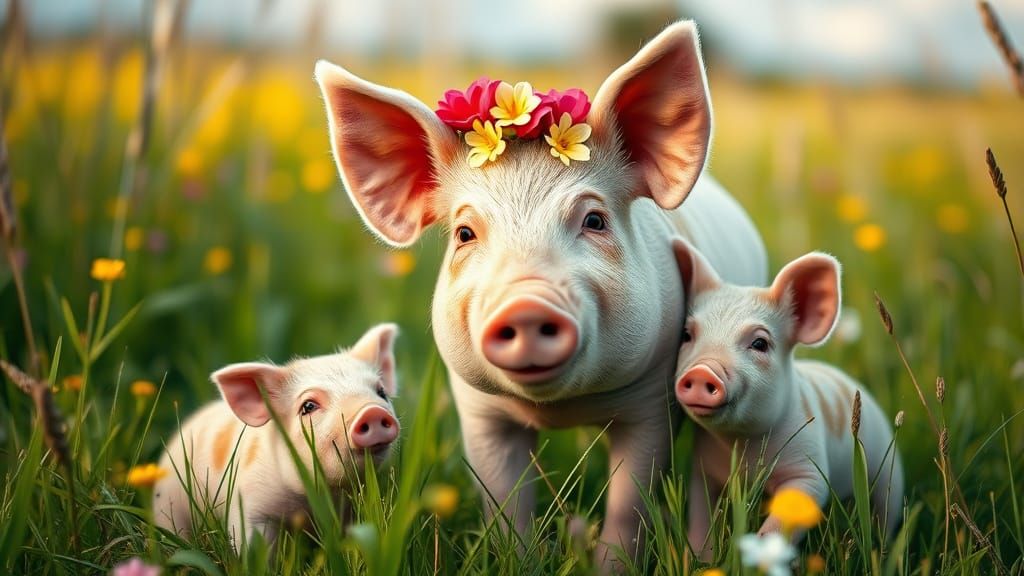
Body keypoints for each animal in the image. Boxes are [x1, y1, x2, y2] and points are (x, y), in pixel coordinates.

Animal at [153, 323, 401, 548]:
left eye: (381, 392)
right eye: (308, 406)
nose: (371, 411)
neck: (318, 496)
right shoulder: (251, 502)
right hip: (168, 503)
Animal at [313, 21, 767, 565]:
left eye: (595, 220)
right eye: (464, 233)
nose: (526, 305)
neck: (558, 409)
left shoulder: (651, 400)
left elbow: (629, 503)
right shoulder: (478, 408)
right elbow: (504, 498)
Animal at [670, 238, 904, 555]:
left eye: (760, 343)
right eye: (686, 335)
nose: (702, 370)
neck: (742, 443)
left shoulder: (809, 469)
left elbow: (786, 518)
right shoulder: (702, 469)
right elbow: (701, 516)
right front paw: (701, 558)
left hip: (889, 466)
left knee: (885, 509)